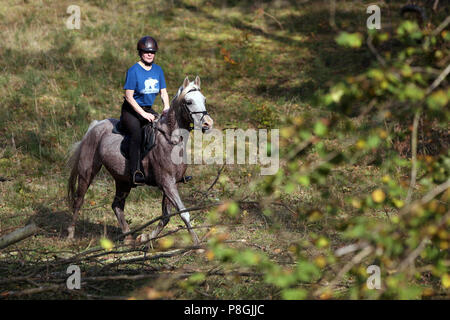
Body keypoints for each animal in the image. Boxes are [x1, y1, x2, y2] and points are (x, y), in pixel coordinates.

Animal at [67, 76, 214, 244]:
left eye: (204, 99)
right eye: (189, 102)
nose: (208, 123)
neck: (171, 139)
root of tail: (96, 125)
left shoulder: (172, 183)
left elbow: (166, 216)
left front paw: (145, 237)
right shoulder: (166, 182)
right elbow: (183, 213)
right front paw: (197, 244)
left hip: (123, 180)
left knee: (117, 205)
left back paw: (128, 237)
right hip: (87, 172)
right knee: (79, 200)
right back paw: (70, 234)